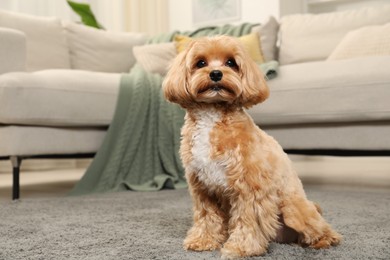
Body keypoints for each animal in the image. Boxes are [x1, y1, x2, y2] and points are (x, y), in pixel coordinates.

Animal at [161, 35, 342, 258]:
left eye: (231, 62)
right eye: (201, 63)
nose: (216, 73)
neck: (212, 115)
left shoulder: (250, 188)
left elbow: (248, 221)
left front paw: (241, 248)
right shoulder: (203, 189)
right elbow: (207, 217)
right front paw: (203, 240)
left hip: (293, 209)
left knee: (323, 229)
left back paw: (323, 241)